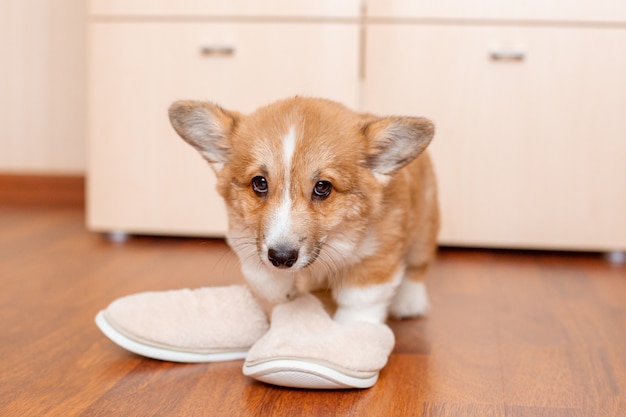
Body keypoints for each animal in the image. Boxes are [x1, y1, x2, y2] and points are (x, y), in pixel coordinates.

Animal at [168, 98, 436, 324]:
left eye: (323, 187)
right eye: (259, 183)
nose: (281, 258)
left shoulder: (377, 256)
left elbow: (359, 302)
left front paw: (353, 334)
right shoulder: (246, 237)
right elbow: (263, 278)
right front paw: (282, 293)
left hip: (423, 230)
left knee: (418, 265)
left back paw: (409, 302)